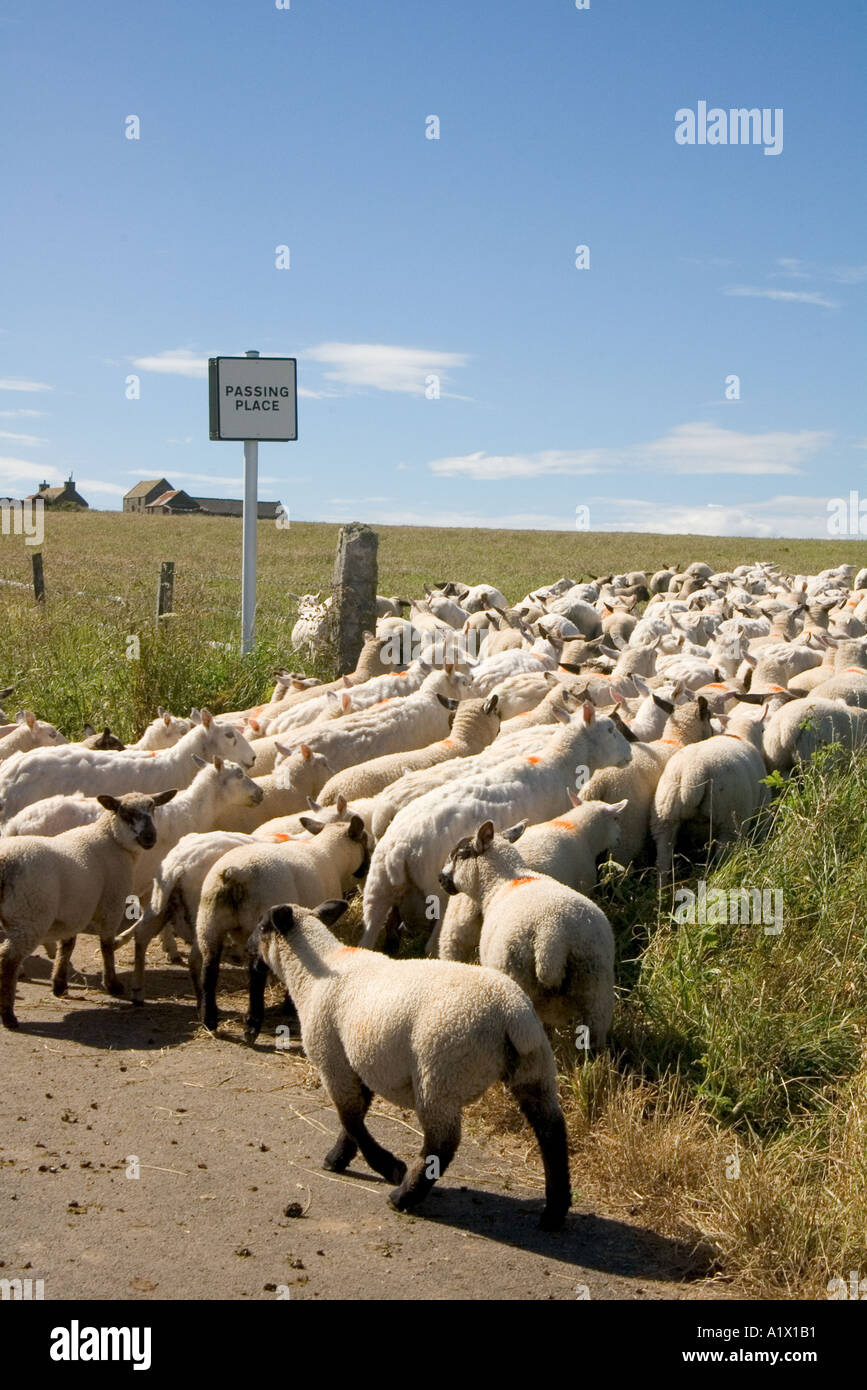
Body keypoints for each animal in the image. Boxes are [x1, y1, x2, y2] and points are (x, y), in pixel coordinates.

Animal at [0, 791, 176, 1029]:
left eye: (153, 808)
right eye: (125, 812)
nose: (150, 837)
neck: (108, 837)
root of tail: (5, 862)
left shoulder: (75, 908)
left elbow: (67, 945)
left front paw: (59, 984)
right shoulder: (111, 904)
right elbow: (106, 946)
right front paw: (112, 984)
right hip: (29, 917)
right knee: (8, 960)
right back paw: (8, 1016)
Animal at [194, 815, 370, 1028]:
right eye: (365, 841)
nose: (366, 869)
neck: (330, 854)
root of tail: (233, 874)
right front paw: (289, 1004)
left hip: (209, 921)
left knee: (209, 969)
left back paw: (209, 1019)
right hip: (257, 921)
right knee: (256, 972)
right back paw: (253, 1019)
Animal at [245, 899, 571, 1228]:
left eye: (261, 926)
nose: (246, 948)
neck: (312, 975)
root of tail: (511, 1013)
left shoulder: (333, 1061)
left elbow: (350, 1118)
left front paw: (387, 1166)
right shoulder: (358, 1062)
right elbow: (355, 1117)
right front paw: (338, 1157)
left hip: (439, 1075)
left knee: (442, 1144)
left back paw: (404, 1195)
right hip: (535, 1069)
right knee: (552, 1133)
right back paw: (554, 1211)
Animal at [438, 821, 615, 1041]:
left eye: (460, 855)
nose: (440, 879)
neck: (503, 880)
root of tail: (552, 935)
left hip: (518, 977)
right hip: (597, 986)